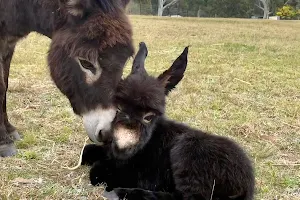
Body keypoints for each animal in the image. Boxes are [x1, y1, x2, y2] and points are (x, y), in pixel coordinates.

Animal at [81, 42, 254, 200]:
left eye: (149, 117)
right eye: (118, 108)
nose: (122, 148)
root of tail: (247, 186)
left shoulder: (143, 174)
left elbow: (99, 171)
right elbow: (88, 151)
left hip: (188, 152)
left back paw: (120, 193)